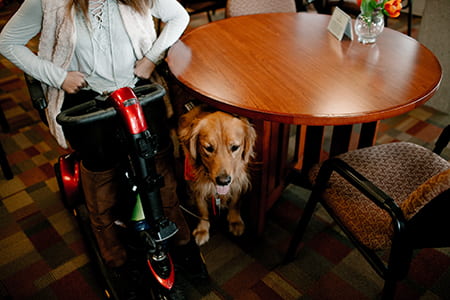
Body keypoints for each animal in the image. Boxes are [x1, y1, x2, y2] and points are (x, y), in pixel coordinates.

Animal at [178, 104, 256, 245]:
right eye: (208, 148)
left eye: (235, 147)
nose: (223, 181)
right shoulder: (196, 185)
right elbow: (202, 208)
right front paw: (202, 229)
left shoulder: (238, 180)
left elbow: (235, 201)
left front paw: (235, 221)